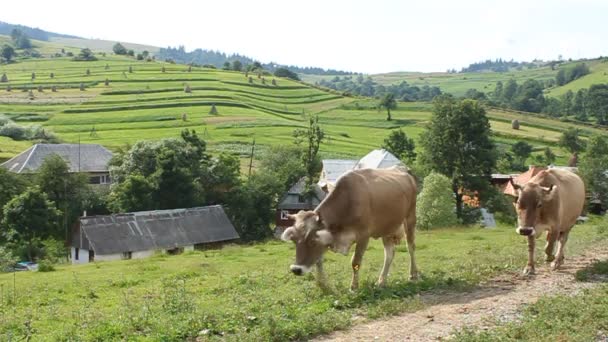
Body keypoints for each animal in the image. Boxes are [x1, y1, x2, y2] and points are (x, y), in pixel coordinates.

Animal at [282, 167, 418, 290]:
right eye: (294, 240)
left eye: (312, 241)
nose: (296, 269)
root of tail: (403, 171)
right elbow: (318, 261)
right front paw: (323, 284)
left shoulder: (364, 235)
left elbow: (355, 262)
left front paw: (354, 287)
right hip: (387, 226)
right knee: (389, 253)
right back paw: (381, 281)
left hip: (410, 217)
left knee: (410, 247)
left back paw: (413, 275)